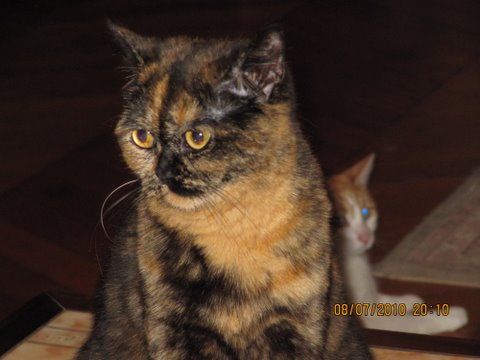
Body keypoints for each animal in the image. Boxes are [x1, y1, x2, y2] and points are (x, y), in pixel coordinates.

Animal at [78, 23, 372, 358]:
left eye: (197, 137)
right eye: (142, 137)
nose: (161, 172)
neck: (230, 228)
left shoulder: (299, 322)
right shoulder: (169, 325)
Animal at [328, 154, 466, 334]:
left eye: (366, 213)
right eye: (341, 221)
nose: (366, 237)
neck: (354, 263)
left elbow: (378, 299)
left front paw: (407, 301)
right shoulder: (368, 321)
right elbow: (411, 322)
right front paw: (449, 316)